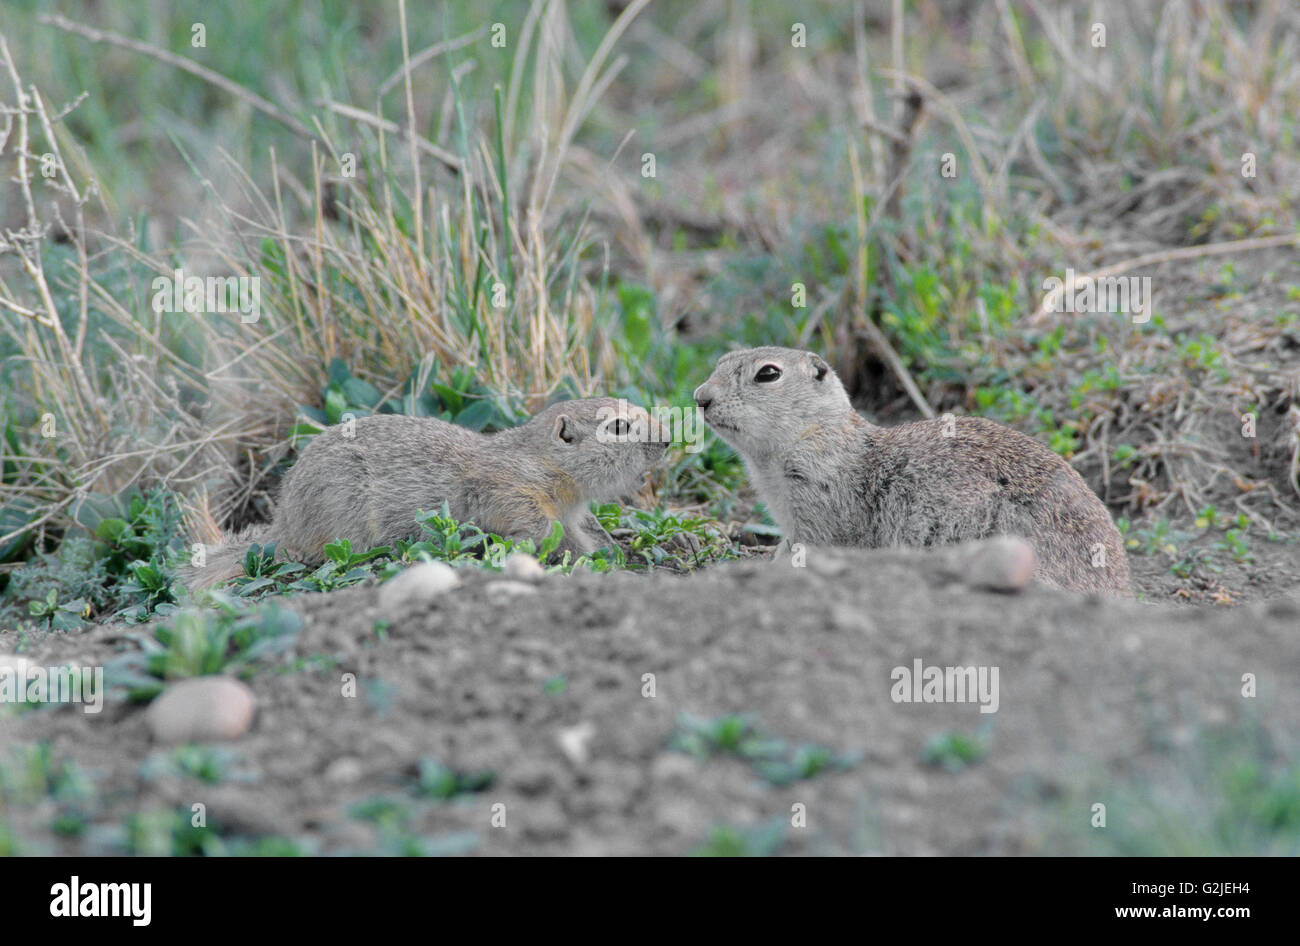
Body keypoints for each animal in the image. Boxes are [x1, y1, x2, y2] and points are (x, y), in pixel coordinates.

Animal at [189, 392, 670, 584]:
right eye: (619, 426)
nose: (666, 439)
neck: (547, 462)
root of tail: (283, 526)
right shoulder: (511, 488)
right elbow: (530, 521)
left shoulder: (571, 511)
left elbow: (577, 535)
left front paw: (605, 554)